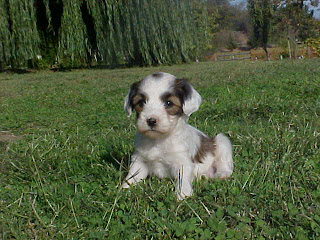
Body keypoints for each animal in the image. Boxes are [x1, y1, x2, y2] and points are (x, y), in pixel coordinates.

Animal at [122, 72, 232, 200]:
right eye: (141, 102)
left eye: (169, 103)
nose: (151, 121)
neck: (158, 140)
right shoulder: (139, 160)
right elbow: (132, 176)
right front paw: (124, 188)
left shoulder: (182, 162)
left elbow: (182, 179)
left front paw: (183, 195)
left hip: (221, 140)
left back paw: (222, 173)